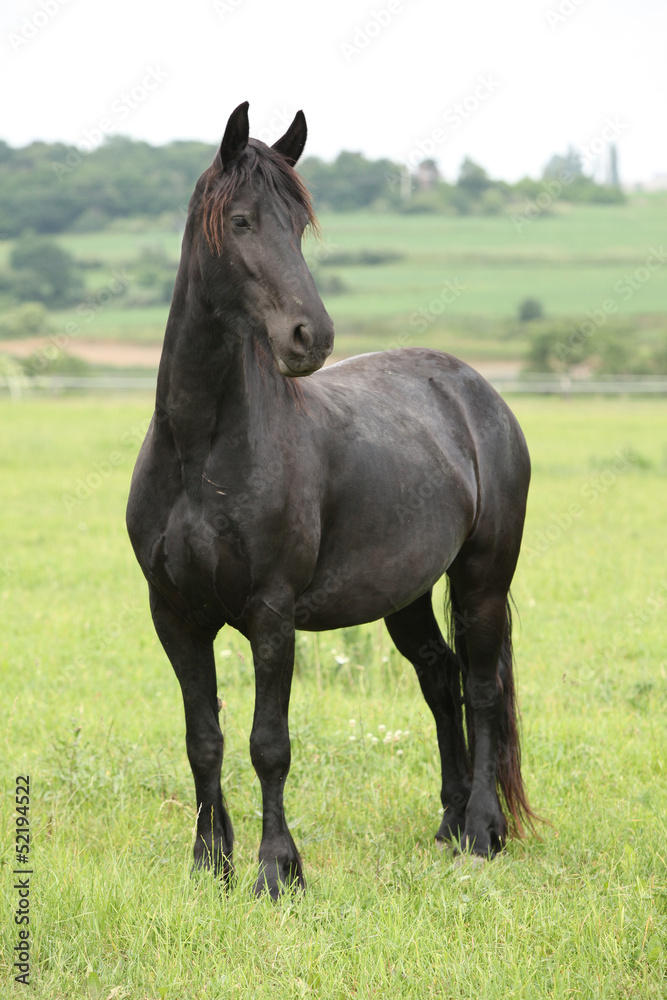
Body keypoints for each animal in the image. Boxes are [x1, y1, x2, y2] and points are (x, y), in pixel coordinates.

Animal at [126, 101, 536, 900]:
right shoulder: (175, 615)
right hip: (405, 592)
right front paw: (209, 862)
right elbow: (203, 739)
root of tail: (476, 391)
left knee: (480, 687)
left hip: (481, 579)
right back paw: (447, 824)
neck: (199, 453)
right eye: (243, 221)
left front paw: (276, 871)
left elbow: (268, 744)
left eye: (299, 225)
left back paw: (480, 832)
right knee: (440, 678)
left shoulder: (270, 615)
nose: (309, 336)